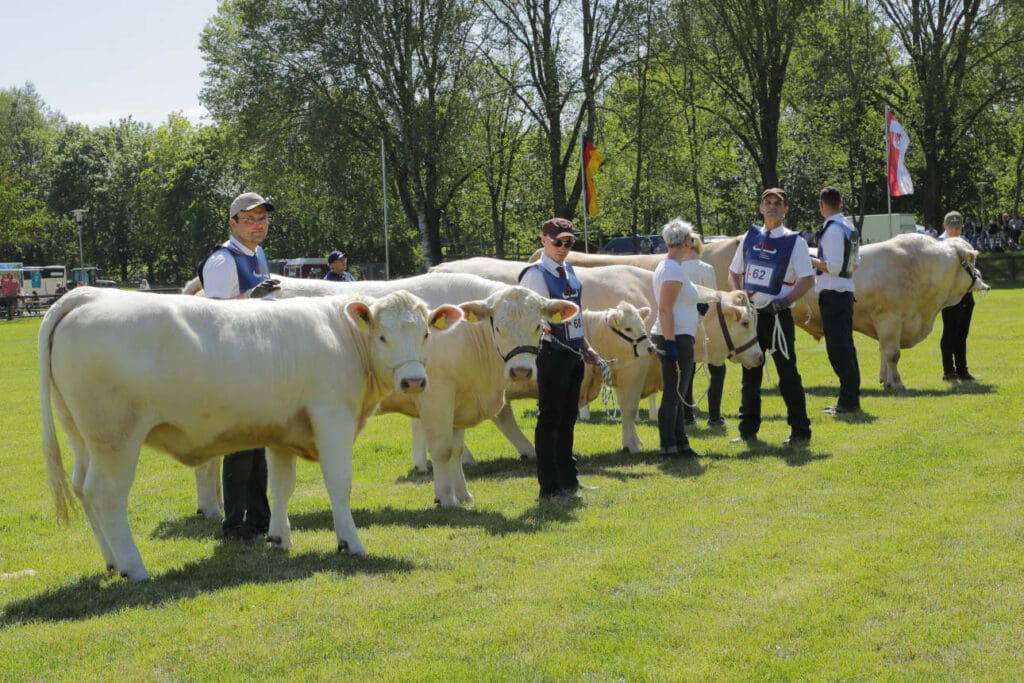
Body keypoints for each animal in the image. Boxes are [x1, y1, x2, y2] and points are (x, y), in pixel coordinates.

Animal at [39, 286, 462, 581]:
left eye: (426, 334)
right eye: (383, 337)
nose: (413, 381)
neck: (343, 338)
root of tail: (87, 296)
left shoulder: (282, 430)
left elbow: (281, 486)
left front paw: (278, 538)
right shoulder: (332, 417)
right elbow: (339, 484)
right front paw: (350, 543)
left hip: (82, 436)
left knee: (82, 489)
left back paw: (112, 562)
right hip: (116, 438)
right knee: (106, 496)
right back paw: (134, 567)